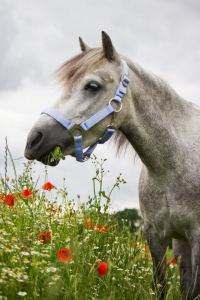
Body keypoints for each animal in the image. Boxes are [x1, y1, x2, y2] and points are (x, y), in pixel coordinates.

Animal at [24, 31, 200, 298]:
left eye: (92, 86)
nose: (34, 140)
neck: (173, 166)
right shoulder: (156, 236)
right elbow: (162, 285)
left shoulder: (197, 236)